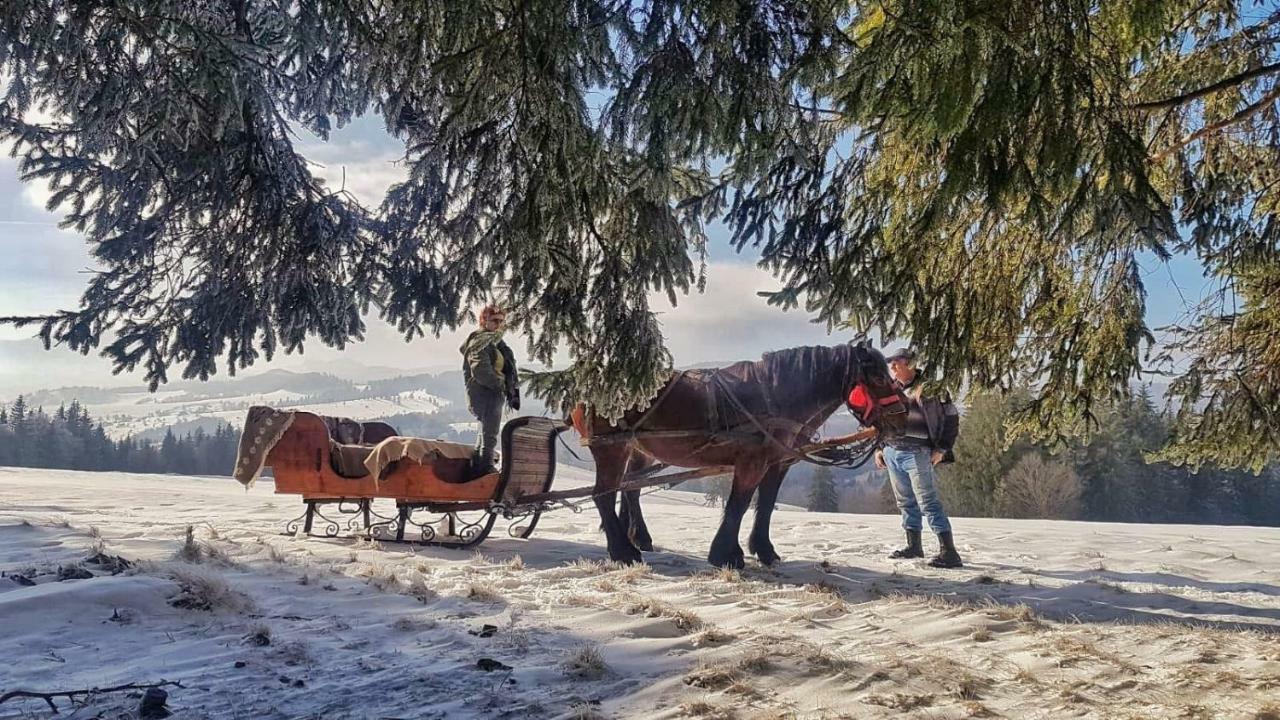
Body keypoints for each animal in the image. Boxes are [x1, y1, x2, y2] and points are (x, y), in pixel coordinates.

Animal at [570, 340, 901, 566]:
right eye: (879, 378)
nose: (902, 416)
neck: (774, 396)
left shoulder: (776, 463)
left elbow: (764, 505)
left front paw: (763, 550)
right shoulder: (751, 462)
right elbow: (737, 506)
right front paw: (725, 555)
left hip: (637, 449)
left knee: (629, 490)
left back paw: (637, 538)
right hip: (611, 447)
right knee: (603, 494)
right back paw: (623, 551)